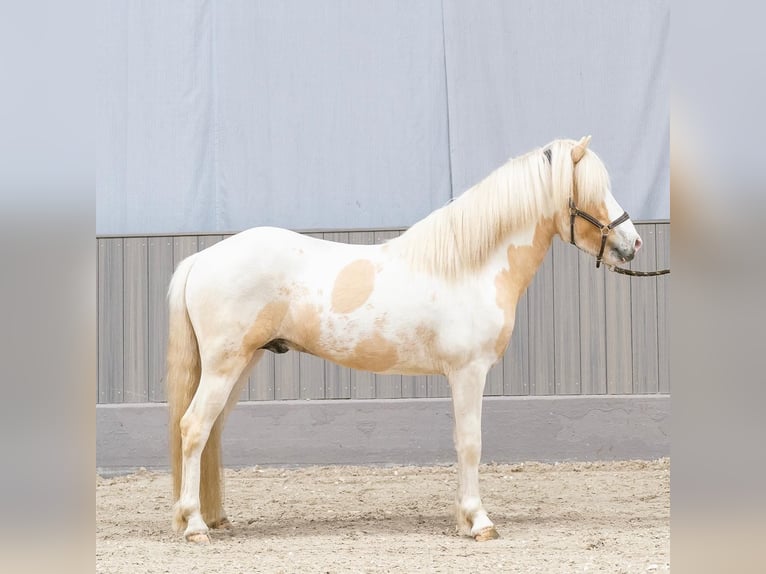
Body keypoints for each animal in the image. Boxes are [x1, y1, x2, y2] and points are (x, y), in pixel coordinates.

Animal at [166, 135, 640, 544]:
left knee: (210, 433)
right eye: (595, 190)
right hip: (225, 365)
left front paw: (462, 518)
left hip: (241, 364)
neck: (470, 266)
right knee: (194, 428)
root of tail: (202, 258)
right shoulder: (469, 372)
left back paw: (213, 518)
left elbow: (460, 442)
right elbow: (472, 443)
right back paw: (194, 525)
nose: (633, 242)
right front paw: (479, 521)